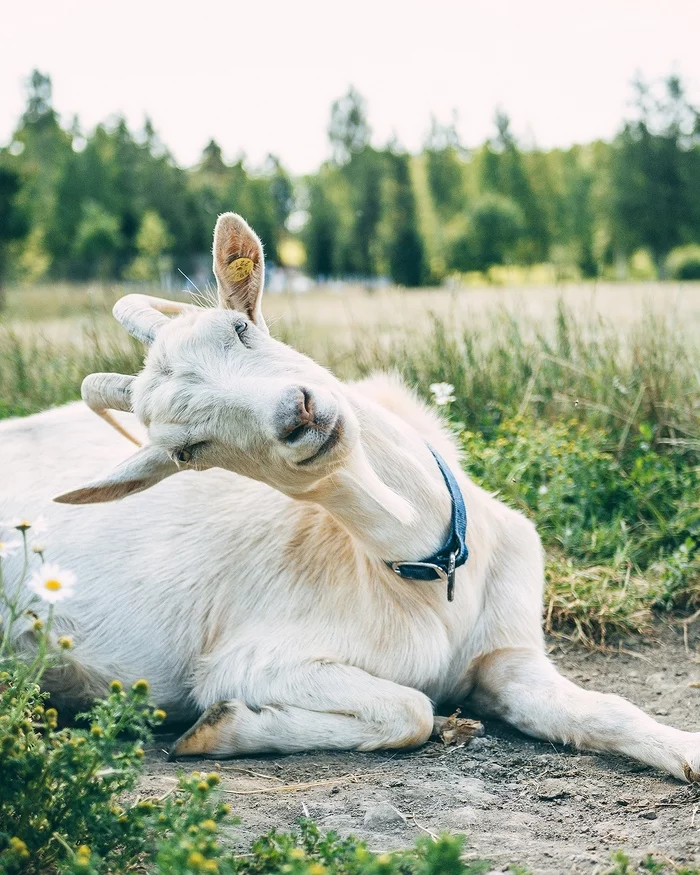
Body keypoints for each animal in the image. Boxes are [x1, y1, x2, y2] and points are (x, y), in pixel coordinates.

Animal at [1, 214, 700, 780]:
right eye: (186, 450)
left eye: (241, 327)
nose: (297, 414)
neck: (430, 571)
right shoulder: (246, 661)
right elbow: (409, 710)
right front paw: (218, 729)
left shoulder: (509, 655)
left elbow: (606, 709)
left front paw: (685, 751)